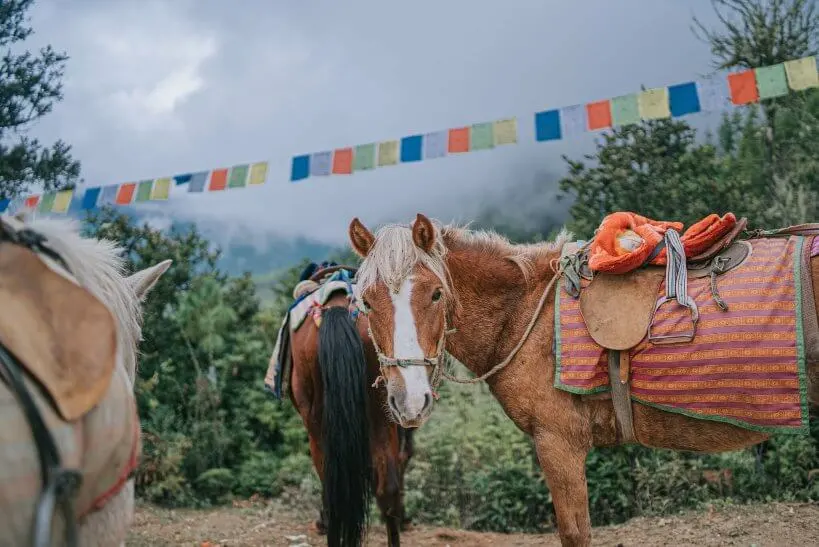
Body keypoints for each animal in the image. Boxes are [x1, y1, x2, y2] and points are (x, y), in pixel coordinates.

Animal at [346, 214, 819, 547]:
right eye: (366, 303)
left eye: (435, 293)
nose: (409, 400)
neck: (524, 311)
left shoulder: (558, 443)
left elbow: (576, 533)